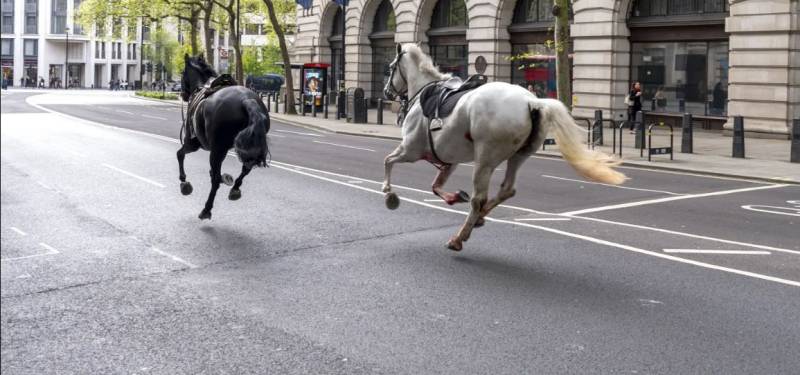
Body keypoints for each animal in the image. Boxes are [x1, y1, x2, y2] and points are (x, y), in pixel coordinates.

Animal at [179, 55, 272, 220]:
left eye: (182, 73)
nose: (182, 94)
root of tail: (246, 100)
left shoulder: (192, 143)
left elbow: (180, 154)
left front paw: (184, 182)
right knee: (246, 168)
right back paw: (234, 188)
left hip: (216, 149)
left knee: (215, 180)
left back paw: (206, 209)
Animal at [384, 44, 628, 251]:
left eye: (390, 68)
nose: (386, 92)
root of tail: (533, 102)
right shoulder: (449, 159)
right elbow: (435, 186)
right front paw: (454, 197)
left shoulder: (410, 150)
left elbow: (388, 161)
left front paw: (389, 193)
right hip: (519, 155)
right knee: (507, 189)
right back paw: (480, 218)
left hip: (485, 159)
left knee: (479, 198)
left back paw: (459, 237)